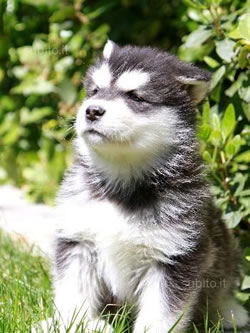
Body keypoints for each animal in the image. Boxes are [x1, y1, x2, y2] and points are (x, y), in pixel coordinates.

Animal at [52, 40, 248, 330]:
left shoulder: (174, 256)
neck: (122, 184)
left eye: (135, 97)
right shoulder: (78, 239)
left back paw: (230, 312)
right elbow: (72, 292)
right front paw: (74, 325)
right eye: (95, 91)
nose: (92, 110)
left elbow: (161, 312)